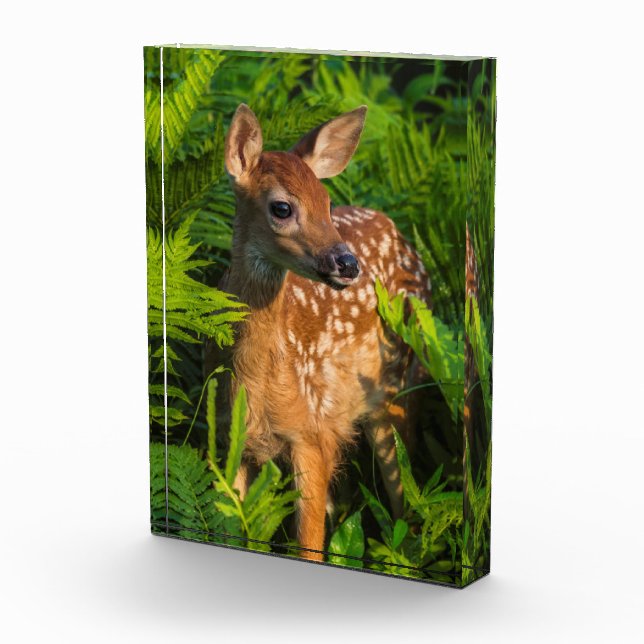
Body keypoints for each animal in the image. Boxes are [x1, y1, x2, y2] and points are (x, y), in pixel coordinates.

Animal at [217, 103, 432, 562]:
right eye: (282, 208)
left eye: (328, 203)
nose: (348, 264)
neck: (257, 381)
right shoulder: (232, 440)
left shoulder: (311, 434)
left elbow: (308, 546)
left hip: (399, 386)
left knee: (406, 499)